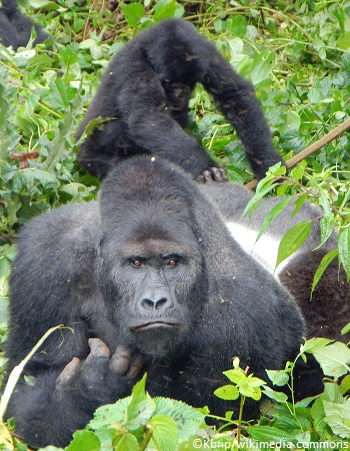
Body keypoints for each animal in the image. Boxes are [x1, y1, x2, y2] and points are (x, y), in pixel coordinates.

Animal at [6, 158, 304, 448]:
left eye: (172, 262)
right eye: (136, 263)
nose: (155, 300)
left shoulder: (243, 316)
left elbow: (208, 423)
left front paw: (93, 385)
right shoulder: (44, 259)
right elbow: (25, 383)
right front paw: (88, 388)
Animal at [76, 19, 284, 182]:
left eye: (190, 82)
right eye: (172, 81)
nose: (182, 93)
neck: (147, 48)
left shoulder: (205, 49)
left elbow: (234, 95)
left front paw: (268, 163)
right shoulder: (134, 67)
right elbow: (149, 118)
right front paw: (203, 165)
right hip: (90, 155)